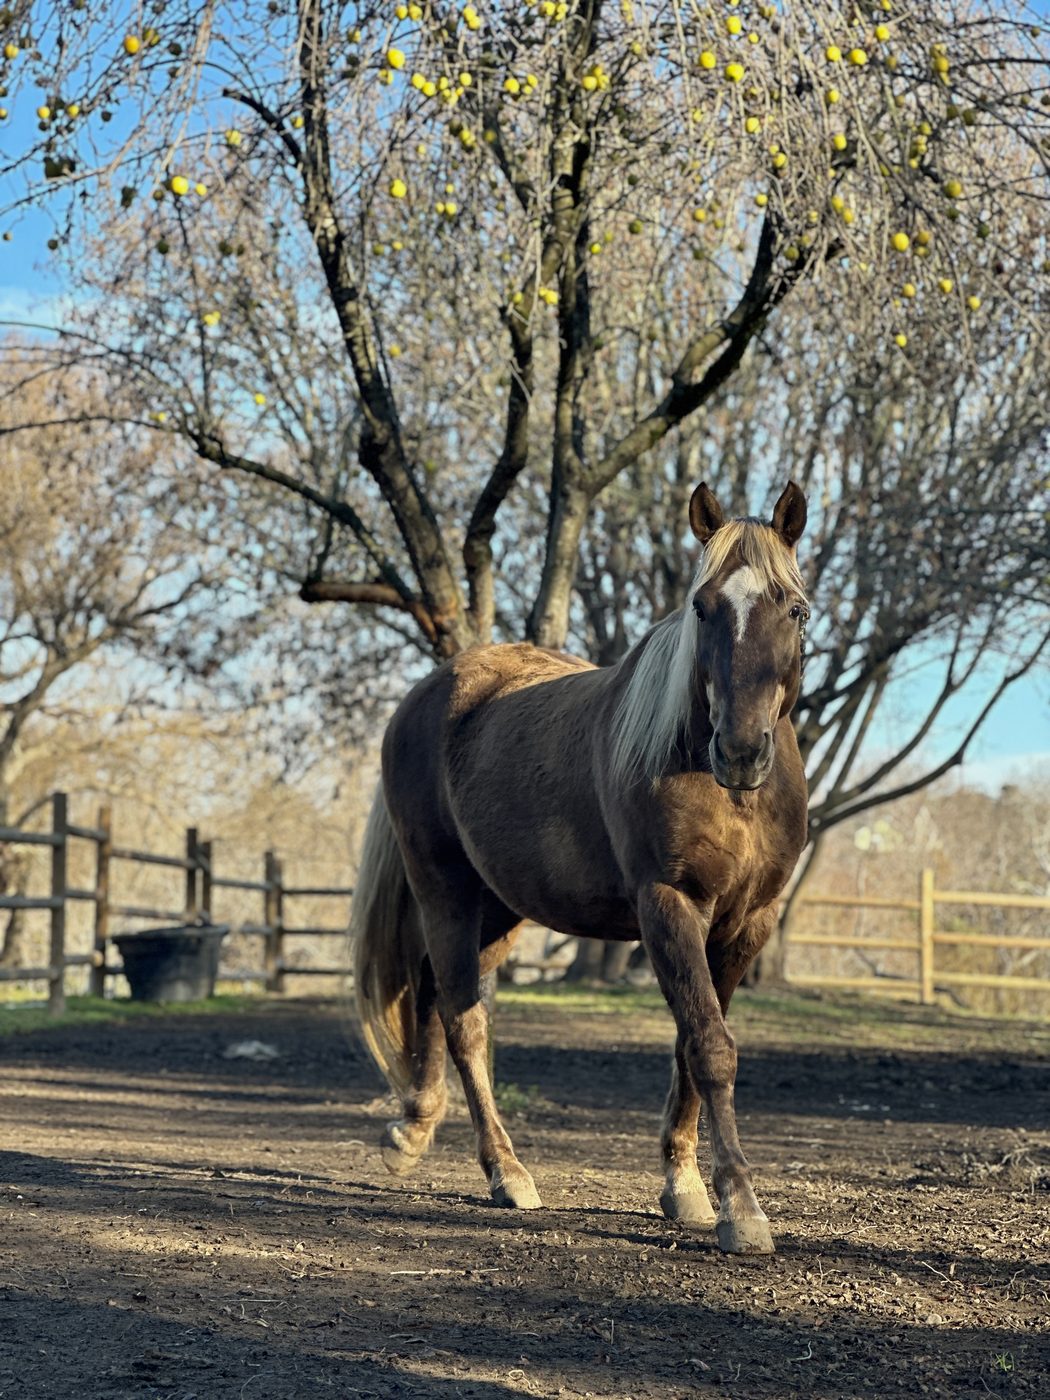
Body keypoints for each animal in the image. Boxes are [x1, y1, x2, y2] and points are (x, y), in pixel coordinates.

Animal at [352, 480, 810, 1254]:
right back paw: (506, 1173)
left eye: (796, 609)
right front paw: (742, 1208)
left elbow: (691, 1047)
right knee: (465, 1020)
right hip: (444, 890)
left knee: (436, 997)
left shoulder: (748, 922)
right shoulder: (668, 906)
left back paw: (414, 1129)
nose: (741, 751)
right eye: (702, 607)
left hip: (499, 909)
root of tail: (427, 693)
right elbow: (710, 1047)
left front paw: (684, 1186)